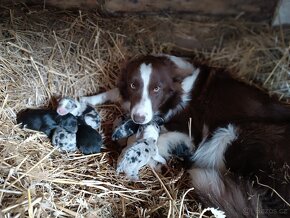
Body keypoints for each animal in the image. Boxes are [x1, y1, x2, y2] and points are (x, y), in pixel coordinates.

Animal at [81, 55, 290, 218]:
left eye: (156, 88)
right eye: (134, 85)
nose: (138, 118)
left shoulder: (190, 132)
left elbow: (154, 141)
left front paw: (140, 156)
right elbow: (115, 92)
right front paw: (86, 99)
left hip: (231, 134)